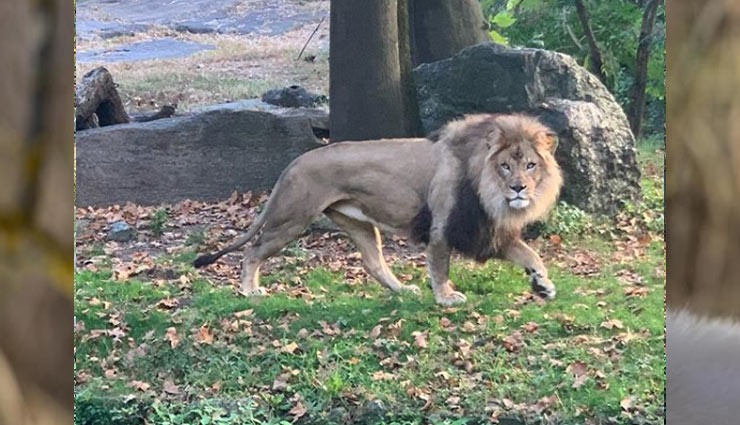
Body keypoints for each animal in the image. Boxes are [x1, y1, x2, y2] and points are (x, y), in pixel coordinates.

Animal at [194, 113, 563, 306]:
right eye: (505, 166)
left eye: (530, 165)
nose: (519, 188)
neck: (488, 191)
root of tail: (294, 162)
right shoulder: (443, 227)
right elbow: (440, 267)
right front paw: (445, 298)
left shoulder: (488, 230)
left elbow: (531, 255)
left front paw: (542, 285)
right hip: (292, 218)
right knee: (253, 251)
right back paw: (250, 290)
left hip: (358, 224)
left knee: (373, 264)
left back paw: (403, 290)